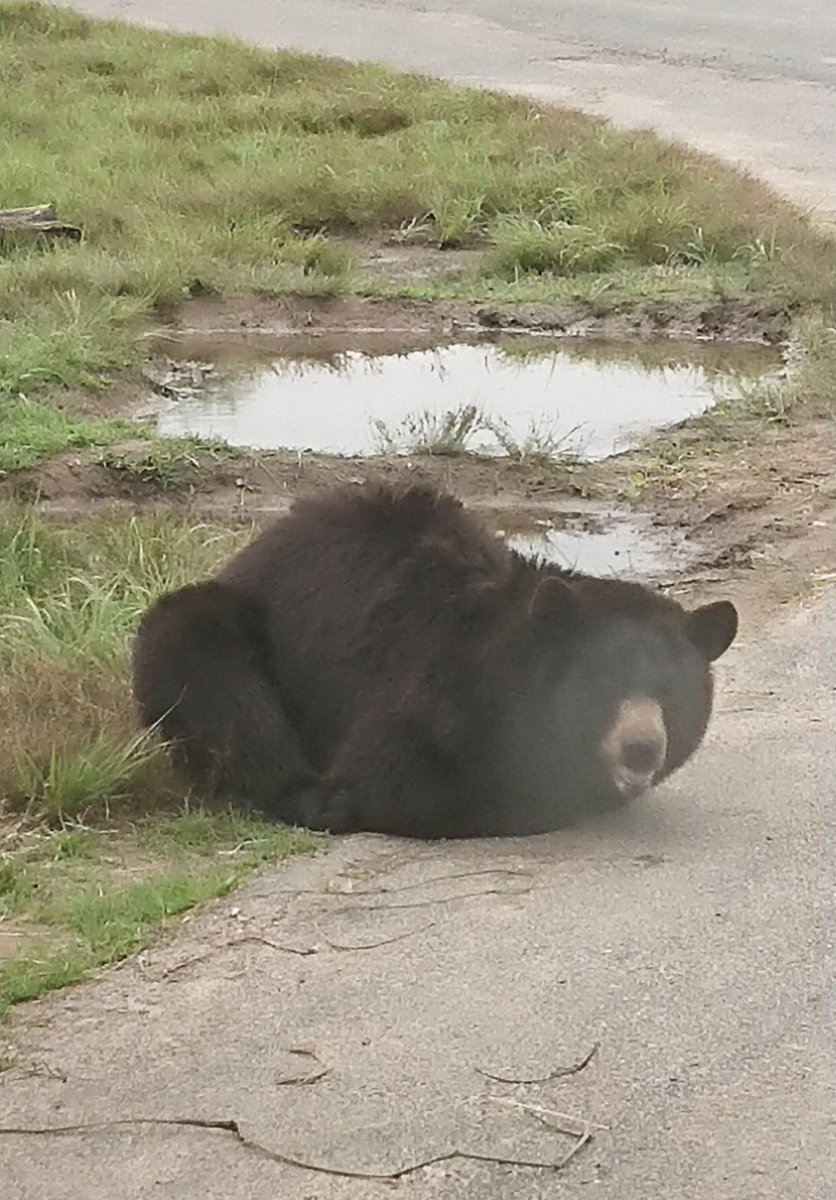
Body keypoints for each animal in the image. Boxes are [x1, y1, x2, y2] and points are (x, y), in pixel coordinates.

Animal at [131, 477, 738, 835]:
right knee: (214, 673)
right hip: (224, 631)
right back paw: (310, 797)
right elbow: (398, 776)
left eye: (670, 690)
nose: (641, 747)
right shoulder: (424, 691)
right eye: (602, 683)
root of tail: (246, 555)